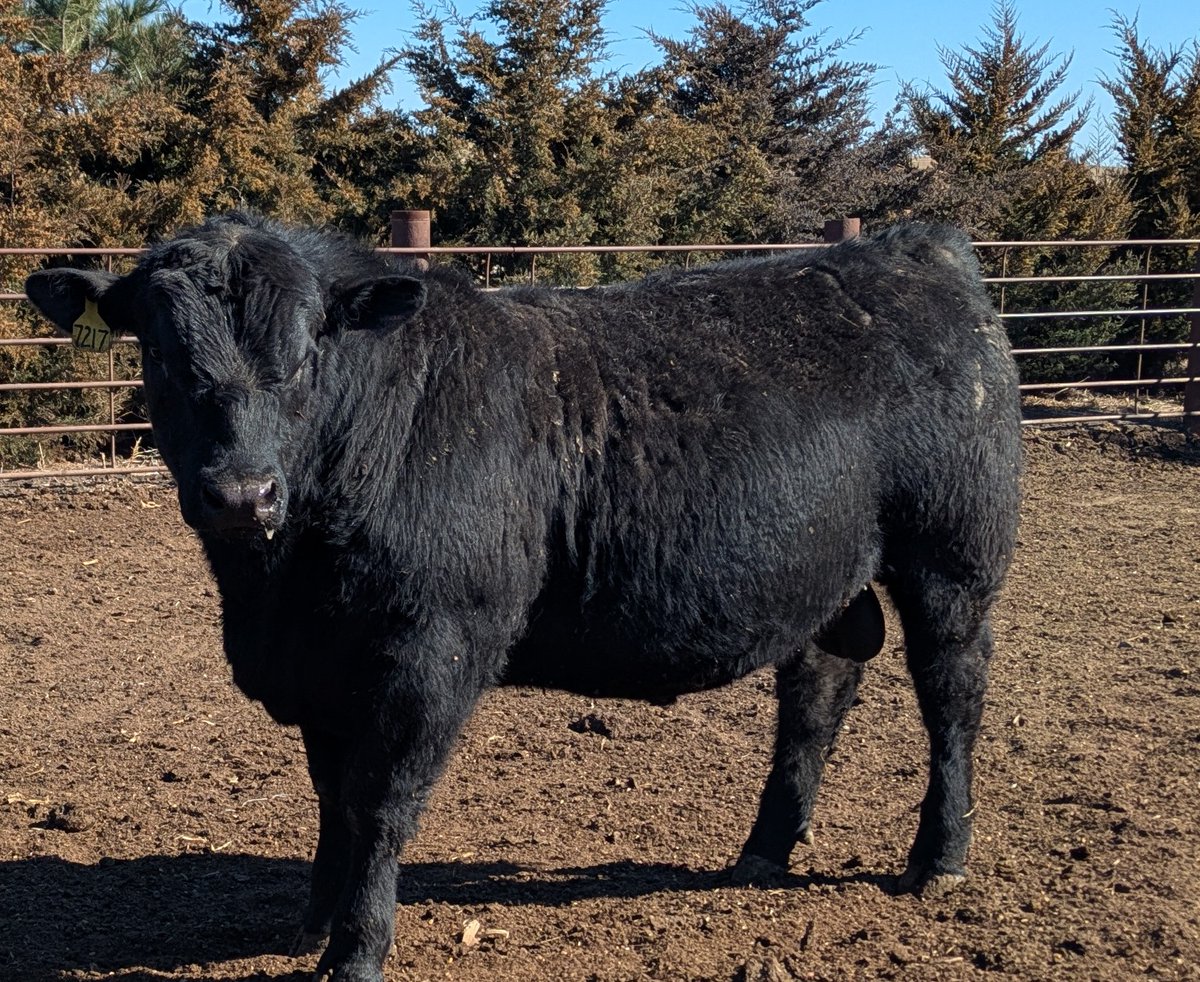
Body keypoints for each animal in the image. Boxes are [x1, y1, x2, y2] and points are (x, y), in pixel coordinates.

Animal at [25, 214, 1021, 982]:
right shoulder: (324, 665)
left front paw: (355, 949)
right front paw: (313, 919)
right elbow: (332, 798)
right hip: (823, 578)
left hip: (953, 561)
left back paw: (939, 858)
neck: (280, 588)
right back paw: (763, 851)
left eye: (306, 354)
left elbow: (379, 802)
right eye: (159, 352)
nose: (242, 494)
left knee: (954, 694)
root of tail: (916, 248)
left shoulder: (432, 649)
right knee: (817, 690)